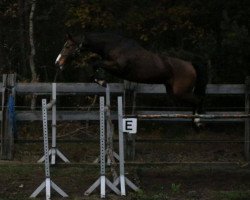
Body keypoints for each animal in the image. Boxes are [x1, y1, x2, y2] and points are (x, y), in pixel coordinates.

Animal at [55, 32, 208, 127]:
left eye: (68, 46)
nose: (57, 63)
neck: (114, 46)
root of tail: (190, 64)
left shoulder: (117, 67)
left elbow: (94, 63)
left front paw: (101, 81)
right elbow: (95, 64)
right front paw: (101, 80)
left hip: (180, 92)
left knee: (198, 100)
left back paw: (198, 122)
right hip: (173, 92)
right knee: (195, 101)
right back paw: (195, 123)